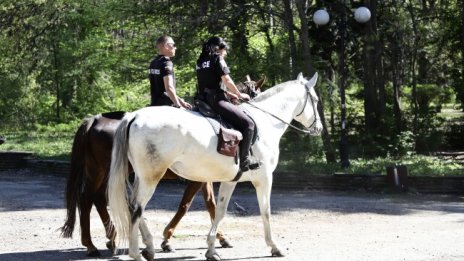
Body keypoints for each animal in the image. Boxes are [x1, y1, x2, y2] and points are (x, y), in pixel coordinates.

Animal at [61, 77, 262, 256]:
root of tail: (94, 120)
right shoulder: (197, 179)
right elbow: (187, 205)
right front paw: (168, 239)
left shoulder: (204, 178)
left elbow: (208, 204)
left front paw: (218, 238)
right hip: (105, 172)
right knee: (89, 198)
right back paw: (92, 244)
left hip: (101, 172)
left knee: (96, 198)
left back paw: (110, 239)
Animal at [108, 72, 322, 258]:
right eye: (316, 100)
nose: (319, 128)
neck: (265, 122)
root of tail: (134, 116)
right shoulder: (264, 179)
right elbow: (266, 211)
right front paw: (274, 247)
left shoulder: (229, 180)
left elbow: (219, 211)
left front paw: (212, 248)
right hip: (151, 178)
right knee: (136, 207)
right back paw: (136, 252)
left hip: (140, 177)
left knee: (132, 205)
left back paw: (148, 246)